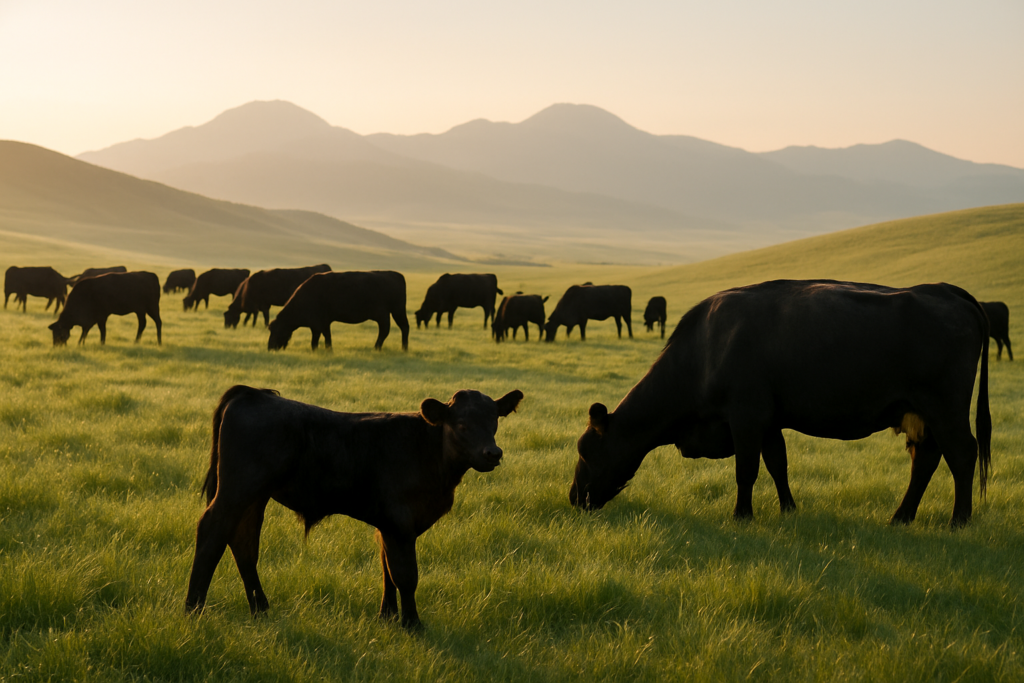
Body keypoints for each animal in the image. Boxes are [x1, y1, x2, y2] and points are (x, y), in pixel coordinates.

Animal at [185, 384, 523, 628]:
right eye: (462, 425)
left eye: (494, 421)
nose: (492, 453)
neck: (429, 453)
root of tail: (253, 392)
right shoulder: (400, 523)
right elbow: (405, 575)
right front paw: (412, 624)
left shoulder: (388, 526)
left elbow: (386, 568)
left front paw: (387, 617)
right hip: (236, 490)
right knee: (212, 531)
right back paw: (193, 608)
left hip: (254, 497)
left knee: (243, 542)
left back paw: (260, 609)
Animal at [268, 271, 410, 351]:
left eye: (276, 331)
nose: (270, 347)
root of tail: (394, 274)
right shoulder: (324, 322)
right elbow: (327, 336)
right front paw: (328, 349)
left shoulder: (316, 324)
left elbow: (315, 339)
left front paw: (315, 350)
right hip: (396, 312)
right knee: (403, 327)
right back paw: (404, 348)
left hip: (388, 312)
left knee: (386, 330)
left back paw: (377, 348)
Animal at [569, 280, 991, 529]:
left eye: (587, 451)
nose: (574, 497)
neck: (704, 349)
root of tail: (946, 290)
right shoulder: (769, 421)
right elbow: (778, 465)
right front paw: (789, 509)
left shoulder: (746, 416)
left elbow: (746, 470)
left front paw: (741, 516)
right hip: (922, 413)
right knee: (926, 459)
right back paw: (901, 517)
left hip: (945, 408)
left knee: (962, 454)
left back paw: (959, 520)